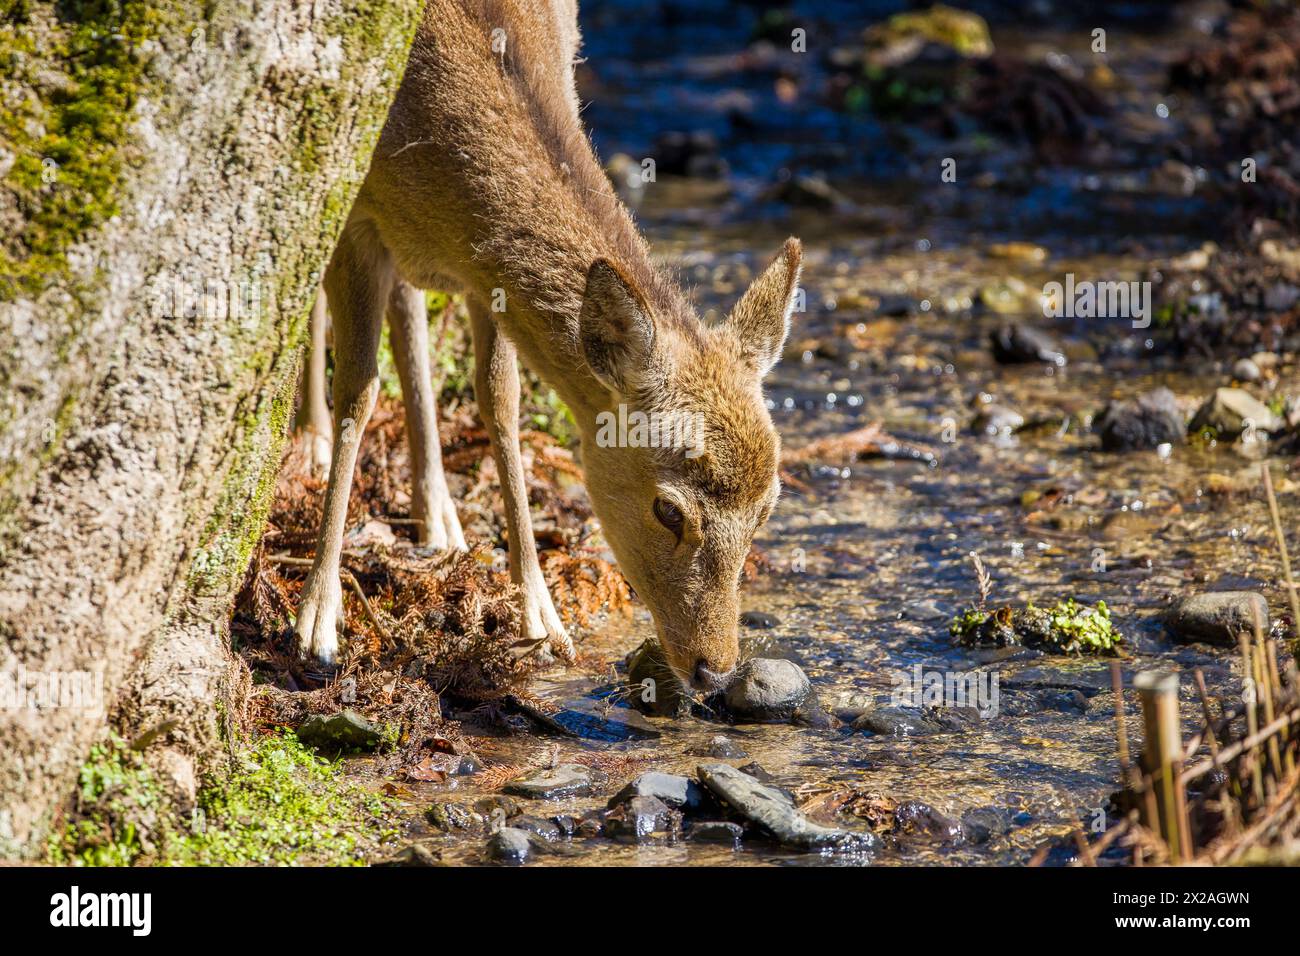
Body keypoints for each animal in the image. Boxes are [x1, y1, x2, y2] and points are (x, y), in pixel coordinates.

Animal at [293, 0, 795, 697]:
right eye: (668, 511)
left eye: (768, 509)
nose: (715, 671)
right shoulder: (356, 211)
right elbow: (358, 393)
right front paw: (317, 622)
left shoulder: (485, 278)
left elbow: (500, 401)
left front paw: (540, 617)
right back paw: (310, 443)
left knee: (411, 317)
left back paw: (438, 516)